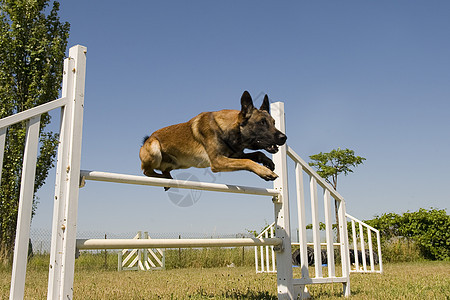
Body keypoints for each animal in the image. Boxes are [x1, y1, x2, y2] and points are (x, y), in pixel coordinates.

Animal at [139, 90, 286, 182]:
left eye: (274, 123)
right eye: (262, 122)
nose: (284, 137)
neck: (227, 129)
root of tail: (147, 139)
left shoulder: (232, 156)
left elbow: (256, 154)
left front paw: (267, 162)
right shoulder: (217, 161)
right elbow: (247, 161)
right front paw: (264, 172)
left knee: (162, 170)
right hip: (155, 148)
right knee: (147, 172)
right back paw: (165, 179)